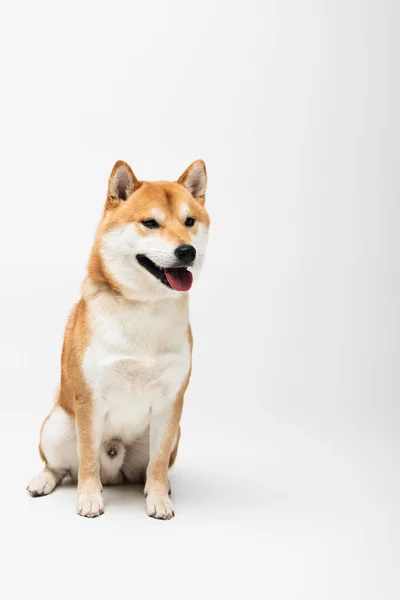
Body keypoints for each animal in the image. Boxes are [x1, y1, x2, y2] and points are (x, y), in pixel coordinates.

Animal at [26, 161, 209, 520]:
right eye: (150, 223)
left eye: (189, 222)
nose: (187, 251)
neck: (144, 308)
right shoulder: (89, 398)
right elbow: (86, 459)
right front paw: (88, 497)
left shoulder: (170, 404)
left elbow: (157, 464)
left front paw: (158, 499)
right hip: (56, 426)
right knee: (60, 466)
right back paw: (44, 480)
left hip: (172, 435)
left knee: (150, 468)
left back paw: (159, 487)